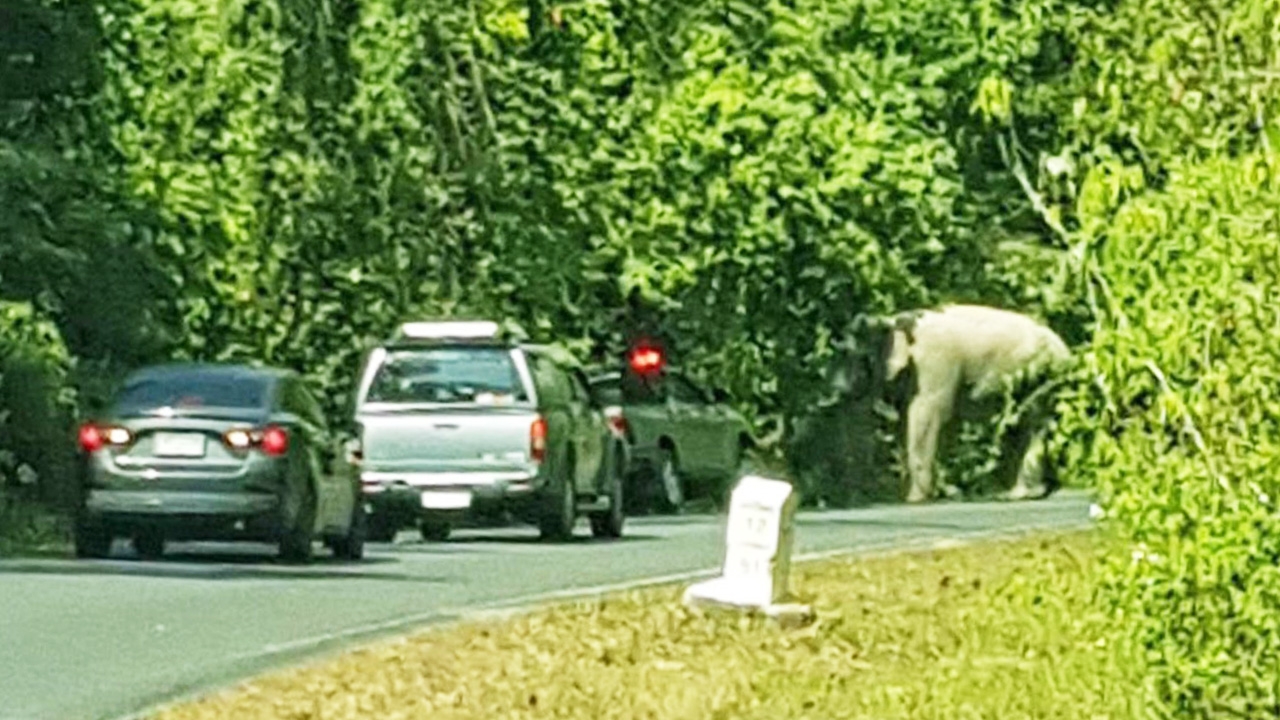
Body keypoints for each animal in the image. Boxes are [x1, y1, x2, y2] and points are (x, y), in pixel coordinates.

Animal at [788, 299, 1070, 502]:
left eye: (852, 354)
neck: (892, 321)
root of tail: (1063, 347)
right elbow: (904, 424)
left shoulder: (933, 367)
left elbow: (924, 419)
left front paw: (915, 500)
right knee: (1020, 425)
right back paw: (1022, 493)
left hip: (1041, 372)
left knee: (1029, 423)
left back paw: (1023, 495)